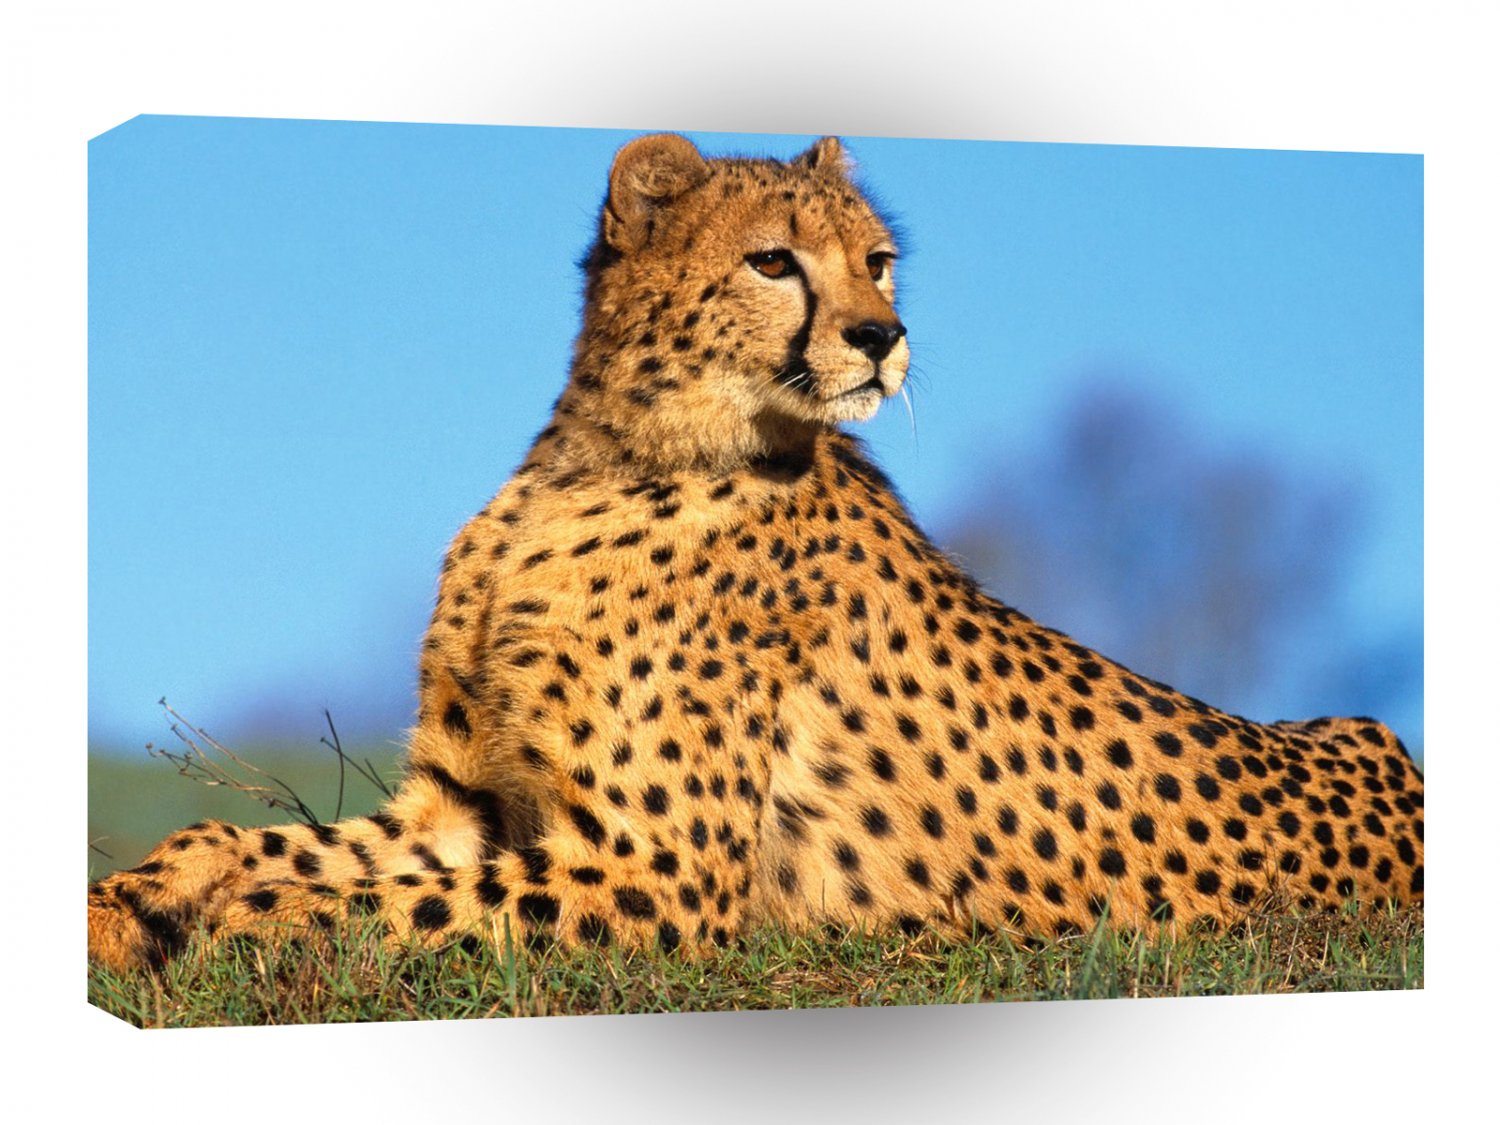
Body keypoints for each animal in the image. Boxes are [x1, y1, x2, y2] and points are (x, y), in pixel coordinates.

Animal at [87, 133, 1424, 973]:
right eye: (774, 260)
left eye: (877, 262)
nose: (884, 336)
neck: (613, 456)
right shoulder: (465, 803)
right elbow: (254, 843)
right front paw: (133, 902)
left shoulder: (654, 872)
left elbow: (353, 894)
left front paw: (233, 924)